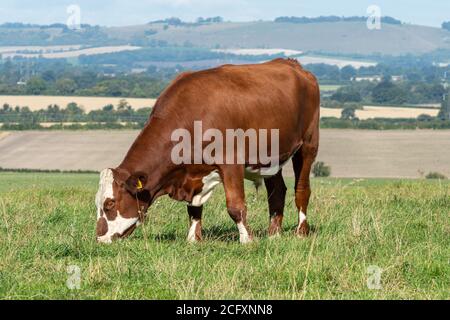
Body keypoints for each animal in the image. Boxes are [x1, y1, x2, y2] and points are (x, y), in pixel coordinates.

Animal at [95, 58, 320, 242]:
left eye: (110, 204)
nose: (99, 238)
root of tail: (293, 64)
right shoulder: (192, 173)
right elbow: (194, 209)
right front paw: (193, 239)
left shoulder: (231, 162)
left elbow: (236, 206)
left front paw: (247, 240)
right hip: (271, 158)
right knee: (277, 191)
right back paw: (274, 234)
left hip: (308, 145)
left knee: (302, 190)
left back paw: (301, 231)